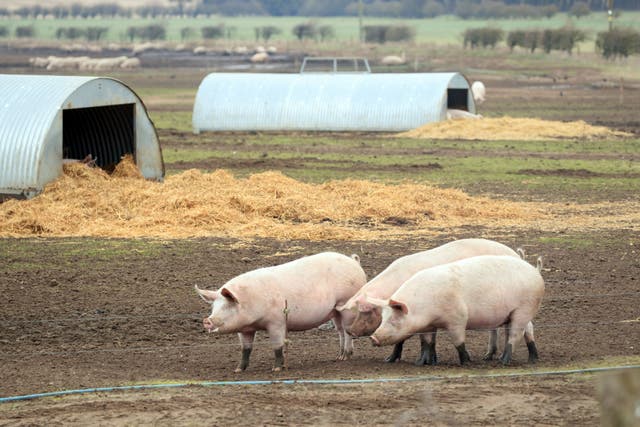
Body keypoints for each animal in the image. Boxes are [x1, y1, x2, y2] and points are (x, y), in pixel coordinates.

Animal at [194, 252, 364, 372]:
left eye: (227, 306)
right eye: (213, 307)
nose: (207, 320)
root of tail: (353, 261)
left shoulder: (277, 322)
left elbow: (277, 346)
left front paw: (276, 369)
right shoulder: (245, 329)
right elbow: (246, 349)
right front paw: (238, 370)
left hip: (346, 303)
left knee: (347, 331)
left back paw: (345, 356)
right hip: (335, 311)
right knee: (341, 331)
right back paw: (339, 356)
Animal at [336, 237, 528, 364]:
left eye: (367, 311)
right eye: (359, 310)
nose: (351, 330)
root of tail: (517, 255)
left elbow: (407, 338)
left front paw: (391, 359)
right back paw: (488, 356)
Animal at [368, 256, 544, 366]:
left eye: (394, 319)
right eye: (383, 318)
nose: (373, 338)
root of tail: (535, 272)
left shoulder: (458, 318)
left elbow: (458, 341)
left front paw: (466, 362)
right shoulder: (428, 325)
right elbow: (427, 342)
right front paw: (421, 363)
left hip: (524, 309)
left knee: (516, 334)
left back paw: (505, 362)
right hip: (513, 314)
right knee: (524, 331)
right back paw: (529, 359)